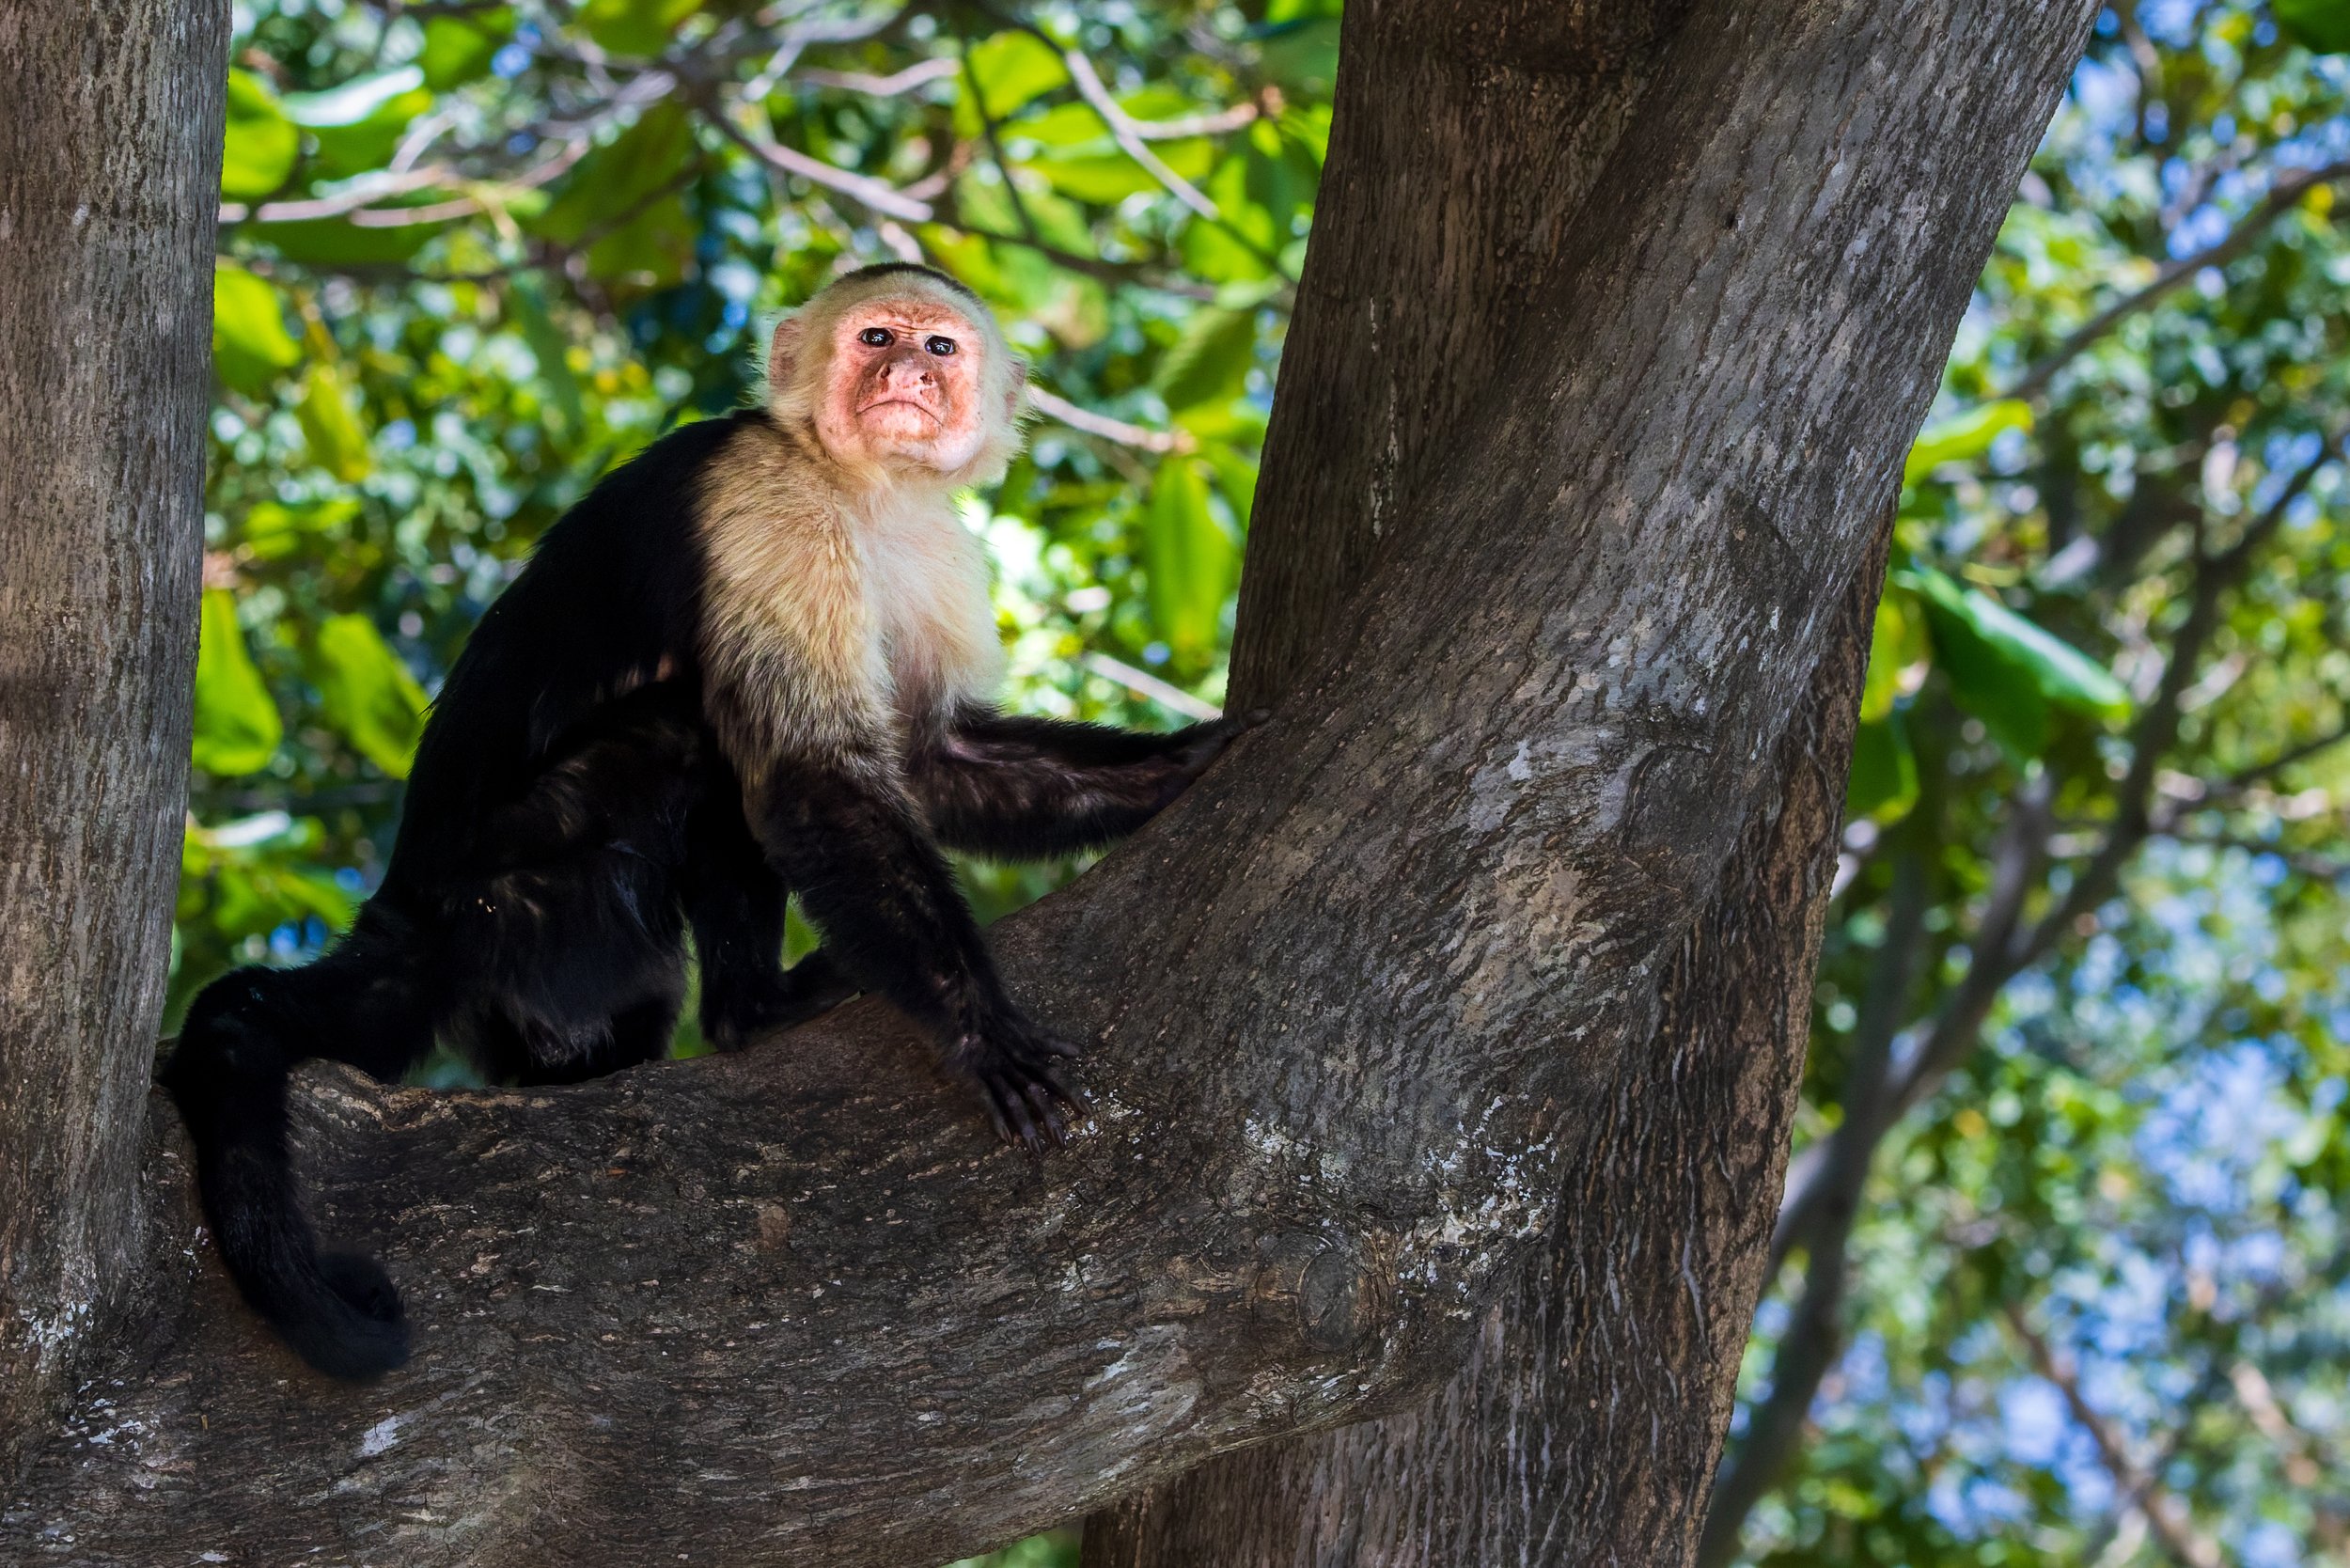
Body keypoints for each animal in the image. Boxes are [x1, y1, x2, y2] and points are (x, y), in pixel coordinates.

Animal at [161, 263, 1247, 1381]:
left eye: (940, 348)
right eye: (875, 336)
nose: (905, 375)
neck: (863, 489)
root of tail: (414, 902)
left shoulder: (939, 547)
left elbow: (933, 760)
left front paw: (1176, 766)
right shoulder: (766, 502)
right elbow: (816, 779)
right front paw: (977, 1025)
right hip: (531, 892)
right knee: (704, 737)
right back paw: (752, 1010)